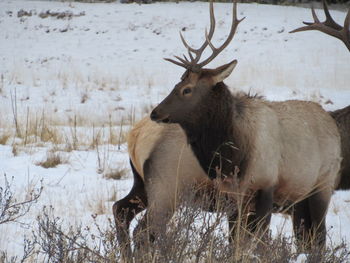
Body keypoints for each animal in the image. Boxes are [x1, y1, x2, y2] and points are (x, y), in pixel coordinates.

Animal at [150, 0, 342, 253]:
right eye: (176, 84)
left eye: (186, 89)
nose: (155, 112)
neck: (234, 157)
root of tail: (333, 124)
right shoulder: (233, 194)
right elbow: (235, 239)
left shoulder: (266, 184)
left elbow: (257, 239)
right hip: (301, 194)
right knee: (308, 238)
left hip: (323, 183)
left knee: (319, 237)